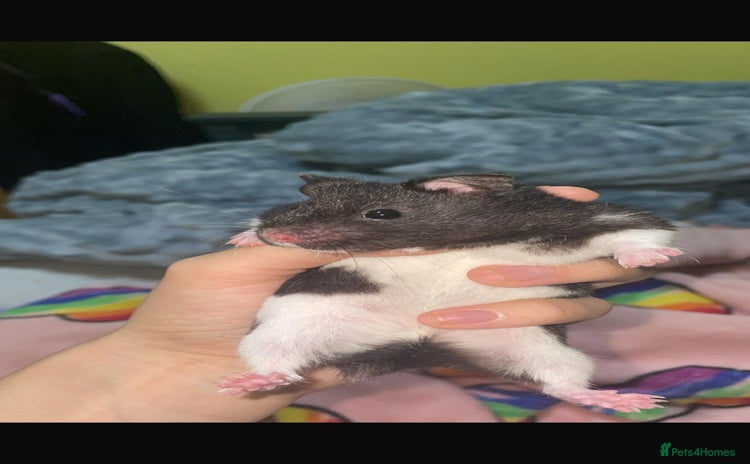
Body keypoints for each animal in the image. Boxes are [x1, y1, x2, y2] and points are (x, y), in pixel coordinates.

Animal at [219, 173, 684, 412]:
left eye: (380, 213)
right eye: (298, 206)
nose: (276, 234)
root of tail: (422, 346)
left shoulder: (587, 217)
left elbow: (639, 231)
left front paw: (658, 257)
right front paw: (245, 238)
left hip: (546, 348)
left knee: (561, 384)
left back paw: (627, 401)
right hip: (284, 328)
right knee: (278, 360)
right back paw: (252, 382)